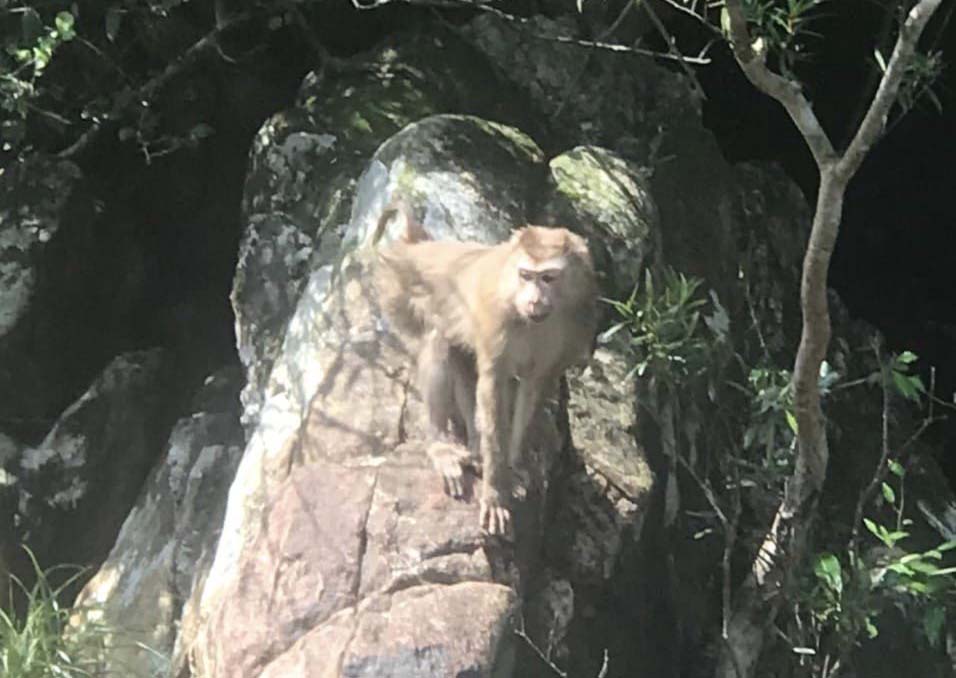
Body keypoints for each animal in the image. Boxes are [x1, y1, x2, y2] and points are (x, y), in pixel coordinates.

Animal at [372, 202, 598, 536]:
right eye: (526, 276)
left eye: (548, 277)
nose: (534, 301)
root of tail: (415, 246)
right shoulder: (496, 317)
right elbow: (494, 387)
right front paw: (494, 491)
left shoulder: (577, 320)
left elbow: (534, 385)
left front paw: (513, 466)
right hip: (396, 294)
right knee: (436, 339)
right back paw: (441, 446)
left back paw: (476, 450)